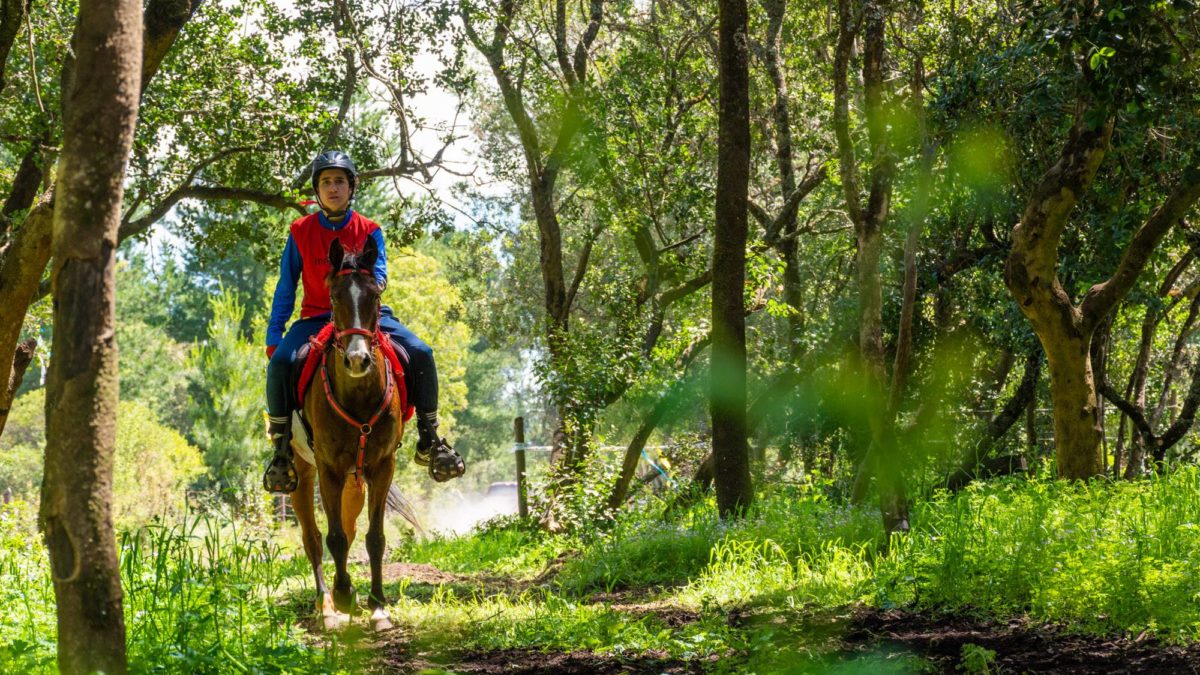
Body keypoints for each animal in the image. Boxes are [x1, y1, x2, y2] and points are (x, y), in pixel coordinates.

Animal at [289, 234, 408, 629]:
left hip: (355, 481)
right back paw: (327, 605)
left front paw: (378, 605)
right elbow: (335, 538)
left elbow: (374, 538)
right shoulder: (328, 469)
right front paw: (343, 595)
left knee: (351, 526)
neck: (358, 394)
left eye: (375, 296)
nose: (357, 360)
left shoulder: (382, 467)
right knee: (312, 538)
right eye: (335, 297)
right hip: (302, 471)